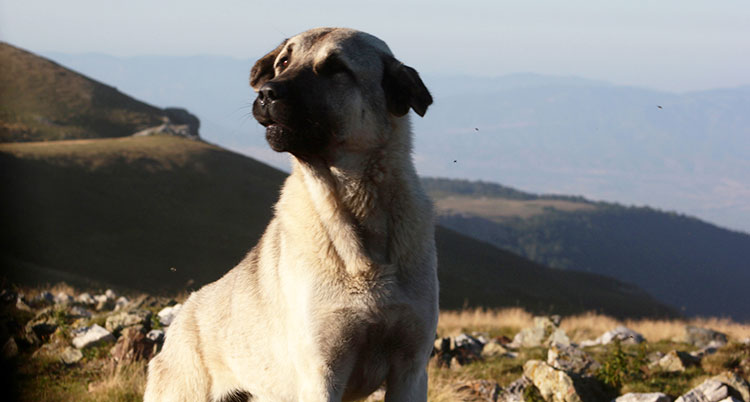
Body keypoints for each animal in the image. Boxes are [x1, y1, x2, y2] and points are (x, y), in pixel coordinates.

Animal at [145, 28, 440, 402]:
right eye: (283, 62)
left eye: (336, 68)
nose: (266, 94)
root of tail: (180, 319)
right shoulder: (322, 372)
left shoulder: (410, 369)